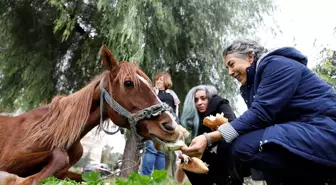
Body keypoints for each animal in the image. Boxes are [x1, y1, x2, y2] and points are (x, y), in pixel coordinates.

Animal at [0, 45, 186, 185]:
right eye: (128, 83)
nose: (170, 126)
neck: (55, 130)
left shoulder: (66, 172)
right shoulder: (8, 160)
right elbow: (59, 157)